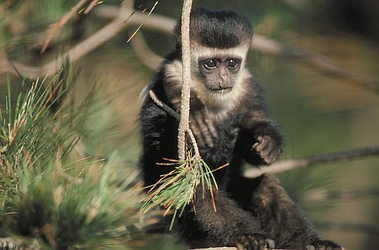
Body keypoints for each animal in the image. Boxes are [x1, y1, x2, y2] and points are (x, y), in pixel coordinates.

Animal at [140, 7, 344, 250]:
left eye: (231, 63)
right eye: (210, 63)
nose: (224, 78)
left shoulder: (247, 86)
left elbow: (255, 124)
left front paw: (268, 143)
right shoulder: (174, 78)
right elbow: (192, 177)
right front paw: (196, 113)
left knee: (266, 185)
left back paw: (311, 242)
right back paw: (248, 237)